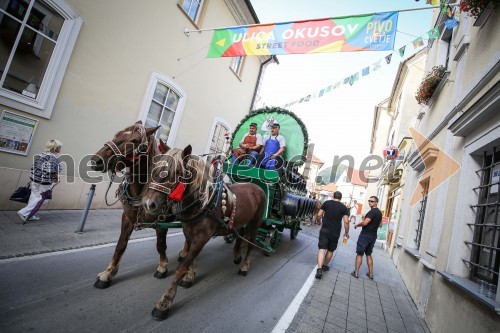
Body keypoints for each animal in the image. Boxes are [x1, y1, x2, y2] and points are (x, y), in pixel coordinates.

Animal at [91, 120, 173, 286]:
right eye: (117, 134)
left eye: (135, 140)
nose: (96, 160)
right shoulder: (127, 218)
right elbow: (120, 245)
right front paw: (108, 273)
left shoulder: (163, 223)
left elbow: (161, 245)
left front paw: (162, 267)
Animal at [141, 145, 268, 320]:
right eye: (155, 167)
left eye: (178, 172)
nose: (149, 204)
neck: (203, 202)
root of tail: (257, 187)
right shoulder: (189, 233)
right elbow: (190, 259)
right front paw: (189, 278)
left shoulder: (201, 238)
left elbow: (181, 268)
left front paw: (164, 303)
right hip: (241, 220)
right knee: (240, 236)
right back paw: (237, 255)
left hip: (256, 222)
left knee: (251, 243)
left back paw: (244, 266)